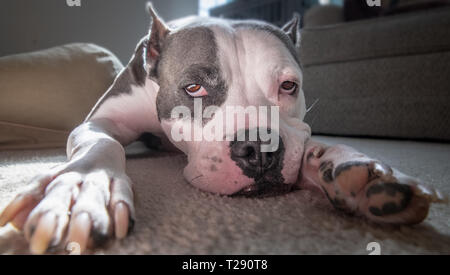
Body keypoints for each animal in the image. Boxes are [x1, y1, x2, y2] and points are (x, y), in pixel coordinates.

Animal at [0, 4, 444, 256]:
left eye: (289, 86)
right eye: (193, 88)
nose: (260, 150)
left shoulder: (297, 128)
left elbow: (311, 141)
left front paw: (359, 171)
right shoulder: (102, 119)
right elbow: (101, 143)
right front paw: (83, 190)